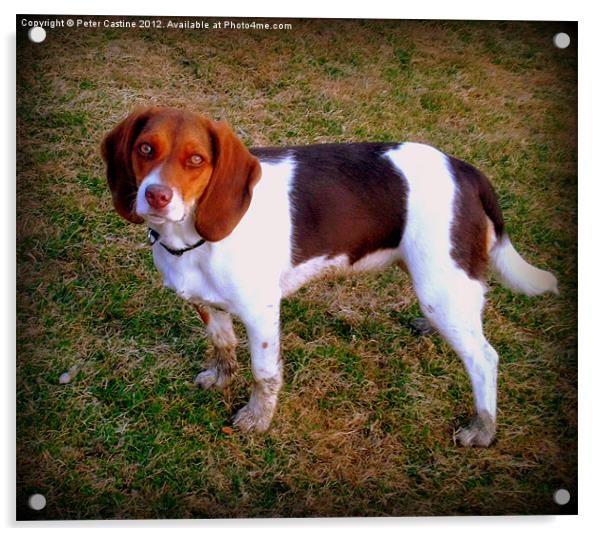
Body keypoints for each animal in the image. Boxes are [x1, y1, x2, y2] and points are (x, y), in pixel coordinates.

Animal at [101, 107, 556, 446]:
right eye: (145, 148)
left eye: (196, 159)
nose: (156, 196)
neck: (191, 236)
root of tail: (464, 169)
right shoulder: (206, 303)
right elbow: (222, 343)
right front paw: (219, 377)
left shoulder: (262, 314)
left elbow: (265, 374)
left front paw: (256, 420)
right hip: (439, 285)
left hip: (441, 287)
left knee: (484, 358)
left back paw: (483, 429)